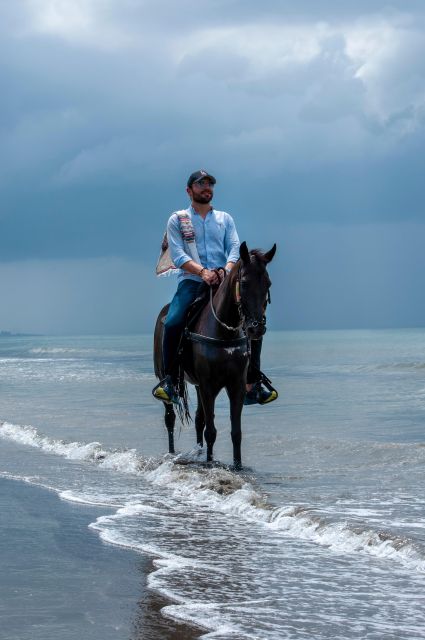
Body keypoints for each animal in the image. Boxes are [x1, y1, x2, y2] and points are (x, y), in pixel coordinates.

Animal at [152, 240, 274, 470]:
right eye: (245, 283)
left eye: (268, 284)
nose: (256, 329)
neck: (224, 331)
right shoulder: (208, 386)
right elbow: (211, 431)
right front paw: (211, 464)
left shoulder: (236, 385)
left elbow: (236, 433)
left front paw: (237, 466)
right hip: (168, 380)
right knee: (170, 418)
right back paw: (172, 454)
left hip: (197, 386)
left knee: (199, 419)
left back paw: (199, 454)